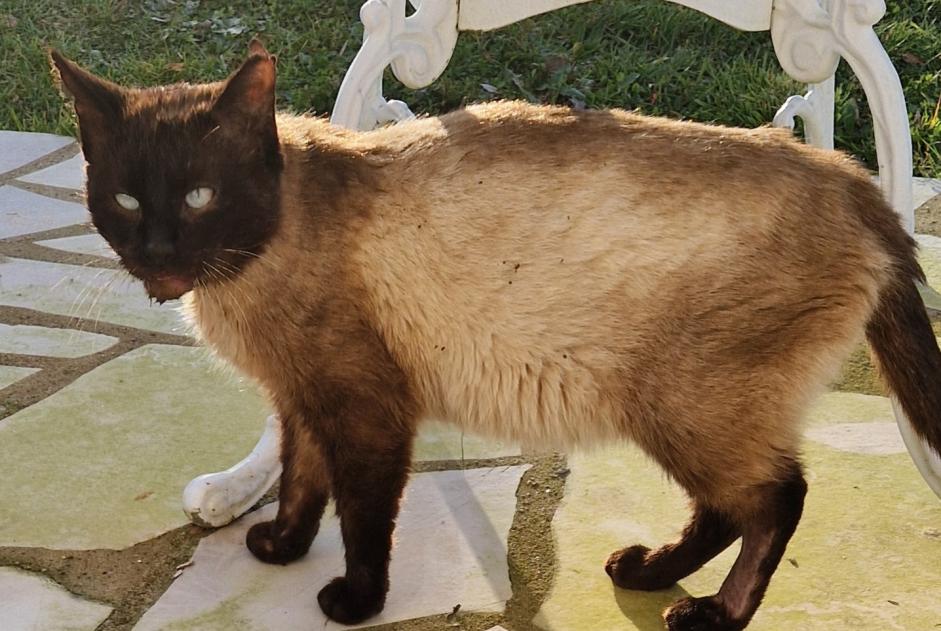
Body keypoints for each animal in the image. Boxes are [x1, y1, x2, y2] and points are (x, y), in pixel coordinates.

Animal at [51, 40, 940, 631]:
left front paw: (352, 601)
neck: (246, 274)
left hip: (683, 410)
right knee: (729, 507)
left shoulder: (366, 413)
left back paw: (712, 614)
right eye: (125, 201)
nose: (158, 254)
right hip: (684, 416)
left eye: (198, 196)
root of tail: (854, 180)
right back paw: (647, 571)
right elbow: (302, 482)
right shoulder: (303, 401)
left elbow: (361, 518)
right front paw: (279, 547)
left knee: (777, 498)